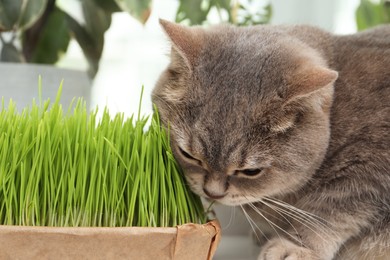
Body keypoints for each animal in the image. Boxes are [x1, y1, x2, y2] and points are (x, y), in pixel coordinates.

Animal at [153, 18, 390, 260]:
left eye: (251, 171)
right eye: (188, 155)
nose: (213, 193)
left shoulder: (370, 170)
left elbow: (329, 212)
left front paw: (297, 247)